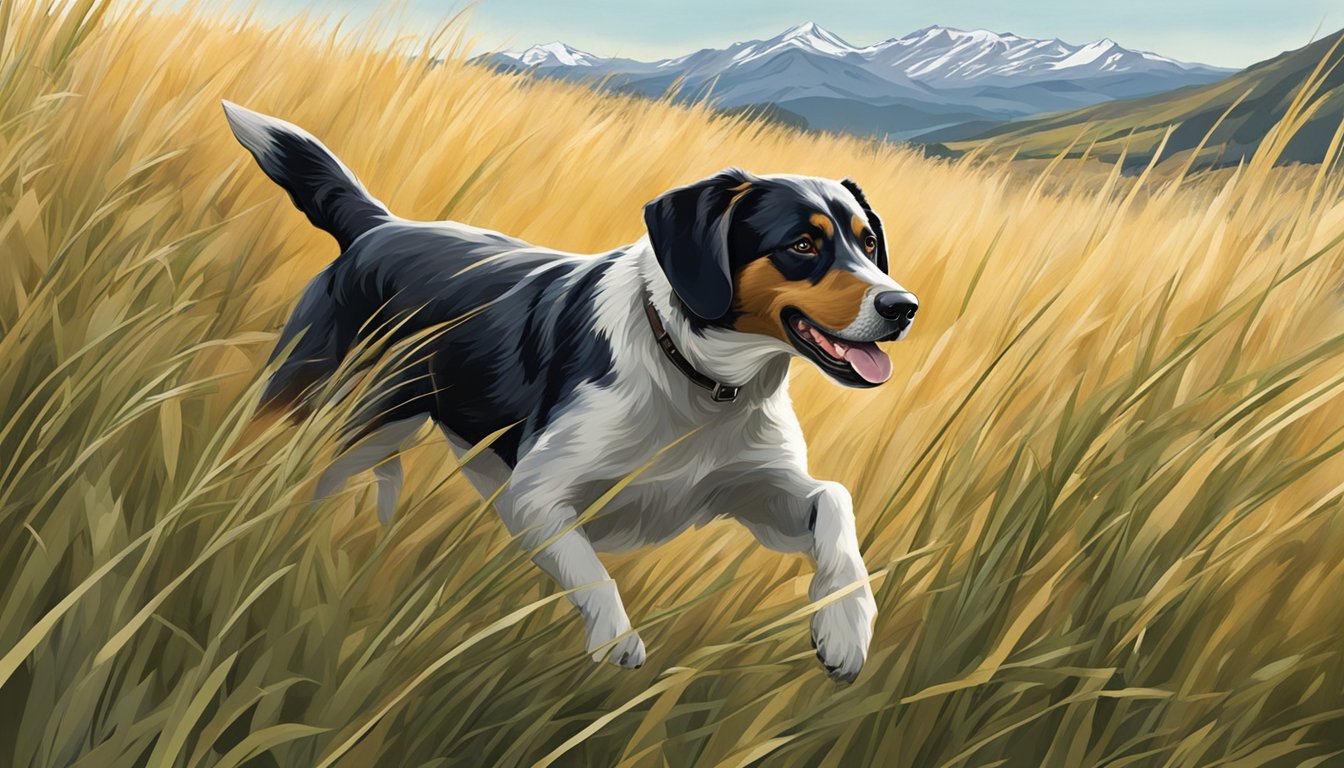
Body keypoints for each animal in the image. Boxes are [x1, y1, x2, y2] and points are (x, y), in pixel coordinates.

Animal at [223, 98, 913, 683]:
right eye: (802, 244)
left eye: (869, 243)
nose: (903, 306)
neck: (699, 381)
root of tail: (378, 227)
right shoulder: (536, 495)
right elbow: (590, 572)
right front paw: (615, 642)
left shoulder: (762, 494)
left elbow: (836, 505)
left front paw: (846, 628)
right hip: (298, 393)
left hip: (386, 424)